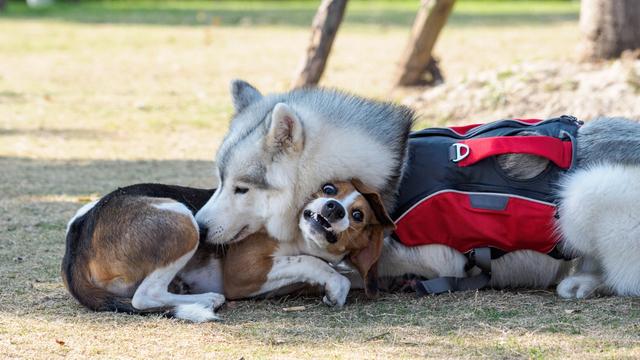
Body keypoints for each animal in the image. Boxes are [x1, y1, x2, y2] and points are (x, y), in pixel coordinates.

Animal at [63, 181, 396, 322]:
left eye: (357, 215)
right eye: (329, 190)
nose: (334, 208)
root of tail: (77, 244)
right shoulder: (246, 272)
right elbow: (311, 263)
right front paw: (335, 284)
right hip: (184, 220)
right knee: (145, 297)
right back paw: (208, 299)